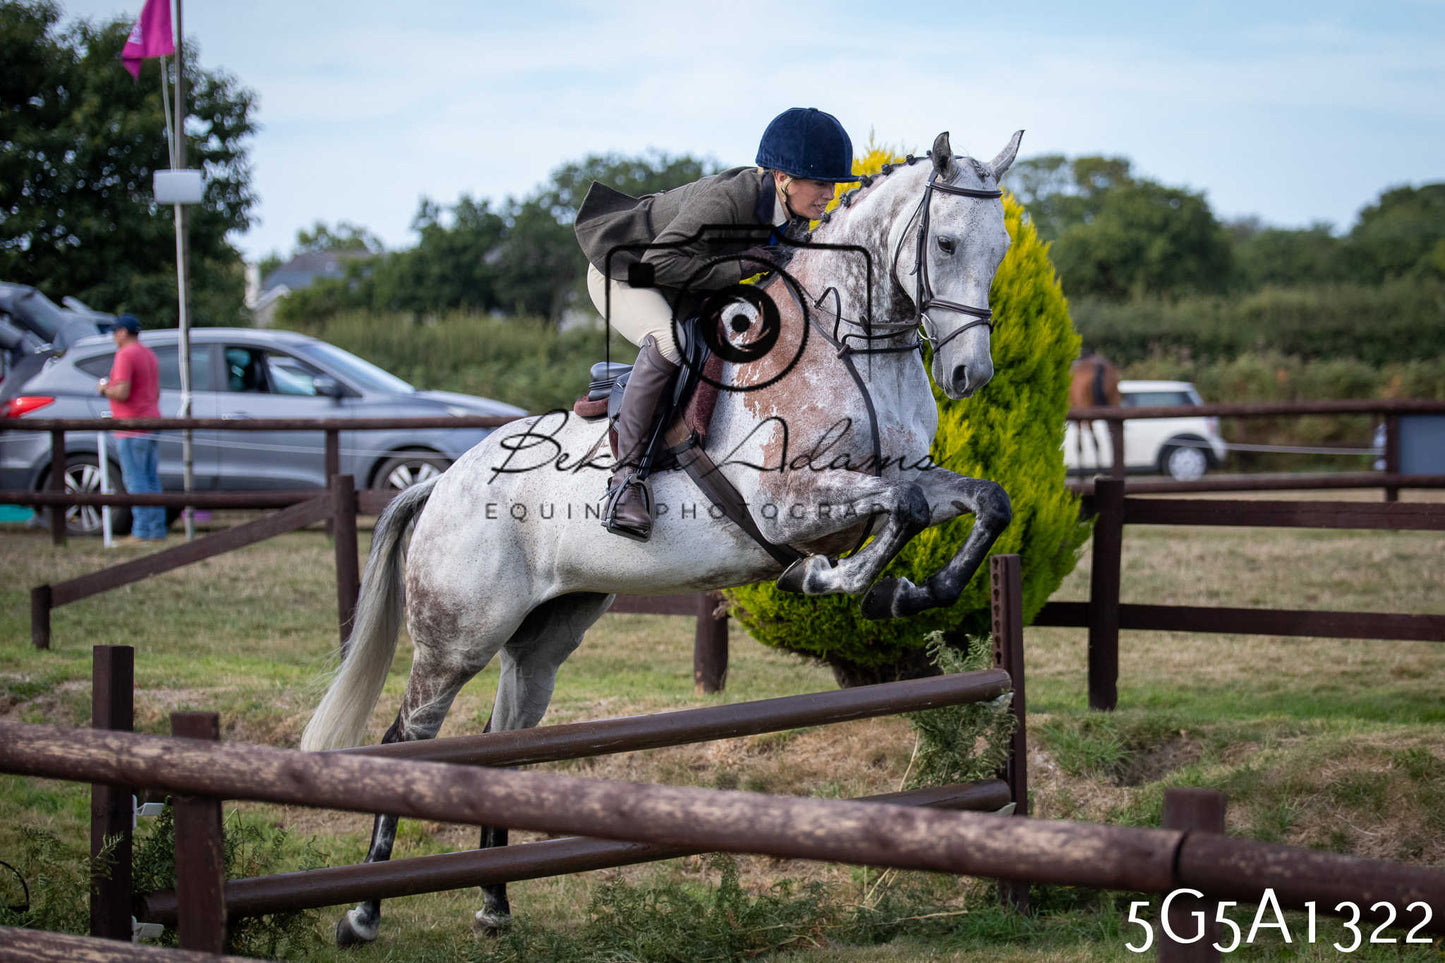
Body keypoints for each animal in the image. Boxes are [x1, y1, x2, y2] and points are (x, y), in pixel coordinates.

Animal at [300, 129, 1025, 945]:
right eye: (945, 241)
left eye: (999, 248)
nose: (968, 374)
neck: (851, 346)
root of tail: (443, 482)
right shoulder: (783, 505)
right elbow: (897, 507)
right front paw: (834, 581)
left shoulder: (904, 481)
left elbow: (977, 500)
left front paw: (916, 590)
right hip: (457, 636)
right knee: (407, 742)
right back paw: (362, 911)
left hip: (544, 637)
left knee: (500, 746)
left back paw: (492, 904)